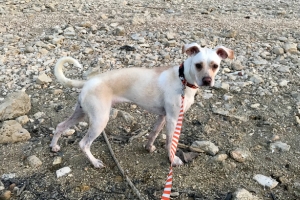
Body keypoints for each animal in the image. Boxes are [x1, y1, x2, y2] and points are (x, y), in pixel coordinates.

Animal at [49, 43, 234, 168]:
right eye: (198, 65)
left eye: (215, 65)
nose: (207, 81)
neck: (183, 79)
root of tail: (88, 82)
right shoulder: (173, 119)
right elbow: (170, 143)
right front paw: (172, 159)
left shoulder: (162, 116)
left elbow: (153, 133)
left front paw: (148, 147)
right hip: (100, 120)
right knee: (83, 144)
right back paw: (95, 162)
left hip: (81, 113)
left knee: (60, 126)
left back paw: (54, 146)